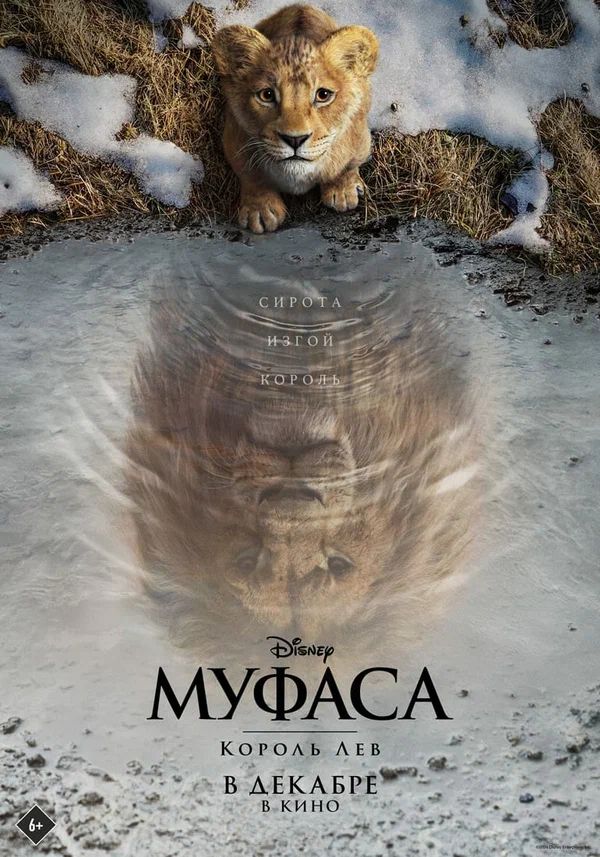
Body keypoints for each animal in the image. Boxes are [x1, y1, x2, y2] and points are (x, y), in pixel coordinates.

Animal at [212, 4, 379, 233]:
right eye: (267, 95)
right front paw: (260, 210)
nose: (295, 139)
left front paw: (343, 191)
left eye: (323, 95)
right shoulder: (234, 139)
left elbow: (347, 166)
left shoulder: (360, 138)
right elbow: (251, 175)